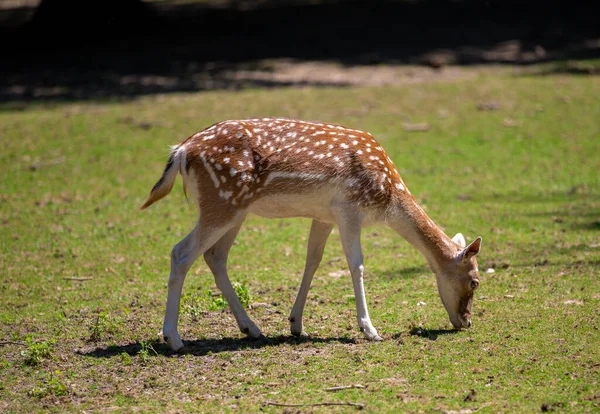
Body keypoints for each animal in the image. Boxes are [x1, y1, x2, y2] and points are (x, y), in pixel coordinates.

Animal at [141, 117, 482, 352]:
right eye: (475, 282)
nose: (466, 321)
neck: (388, 197)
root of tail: (181, 151)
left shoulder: (324, 216)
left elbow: (313, 261)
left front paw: (296, 324)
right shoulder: (349, 209)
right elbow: (356, 265)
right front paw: (370, 330)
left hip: (235, 209)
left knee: (215, 256)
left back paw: (251, 328)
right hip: (221, 201)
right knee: (181, 253)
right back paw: (174, 339)